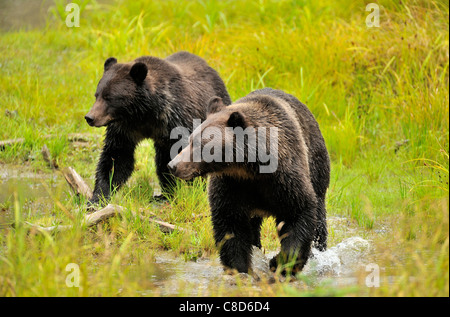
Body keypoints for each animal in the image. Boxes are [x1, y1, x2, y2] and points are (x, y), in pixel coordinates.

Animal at [85, 50, 232, 204]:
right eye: (97, 95)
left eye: (109, 97)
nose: (90, 117)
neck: (143, 113)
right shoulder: (124, 129)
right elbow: (116, 158)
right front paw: (97, 197)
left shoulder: (177, 120)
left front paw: (193, 190)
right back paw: (165, 194)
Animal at [167, 87, 328, 272]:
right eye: (191, 140)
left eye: (202, 144)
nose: (173, 165)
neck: (250, 169)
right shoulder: (232, 184)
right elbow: (230, 225)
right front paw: (240, 267)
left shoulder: (285, 178)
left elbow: (299, 212)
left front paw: (280, 263)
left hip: (316, 164)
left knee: (319, 216)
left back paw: (320, 251)